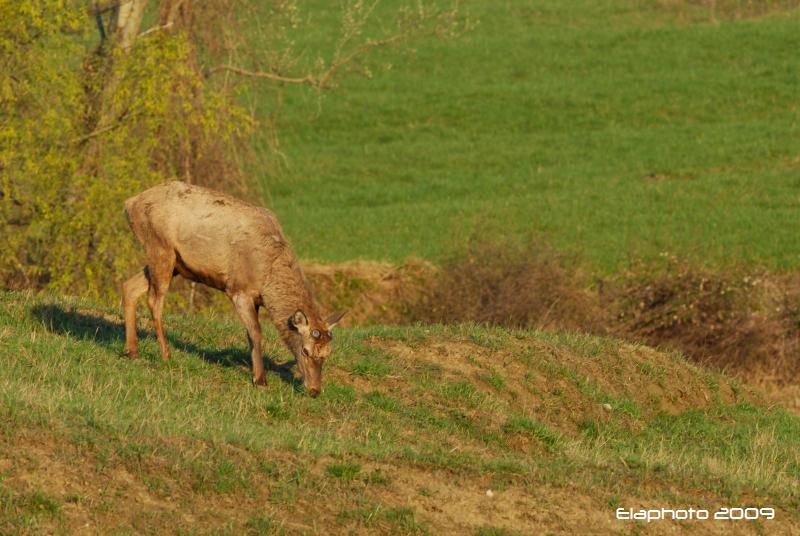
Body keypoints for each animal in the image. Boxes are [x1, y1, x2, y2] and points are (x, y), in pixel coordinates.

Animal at [119, 182, 344, 396]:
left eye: (327, 354)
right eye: (305, 351)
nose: (315, 391)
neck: (267, 276)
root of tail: (130, 203)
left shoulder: (255, 299)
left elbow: (250, 335)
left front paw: (256, 374)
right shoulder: (239, 290)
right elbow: (256, 332)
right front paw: (261, 381)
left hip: (175, 263)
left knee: (129, 286)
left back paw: (132, 351)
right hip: (160, 247)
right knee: (154, 301)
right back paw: (165, 355)